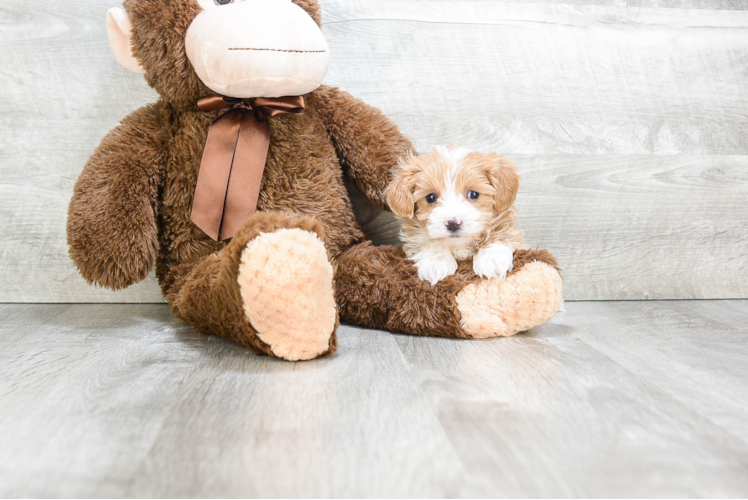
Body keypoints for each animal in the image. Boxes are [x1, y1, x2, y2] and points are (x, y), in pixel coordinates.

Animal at [386, 145, 524, 286]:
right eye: (431, 197)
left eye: (473, 194)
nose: (453, 223)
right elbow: (425, 240)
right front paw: (436, 262)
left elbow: (499, 233)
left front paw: (492, 258)